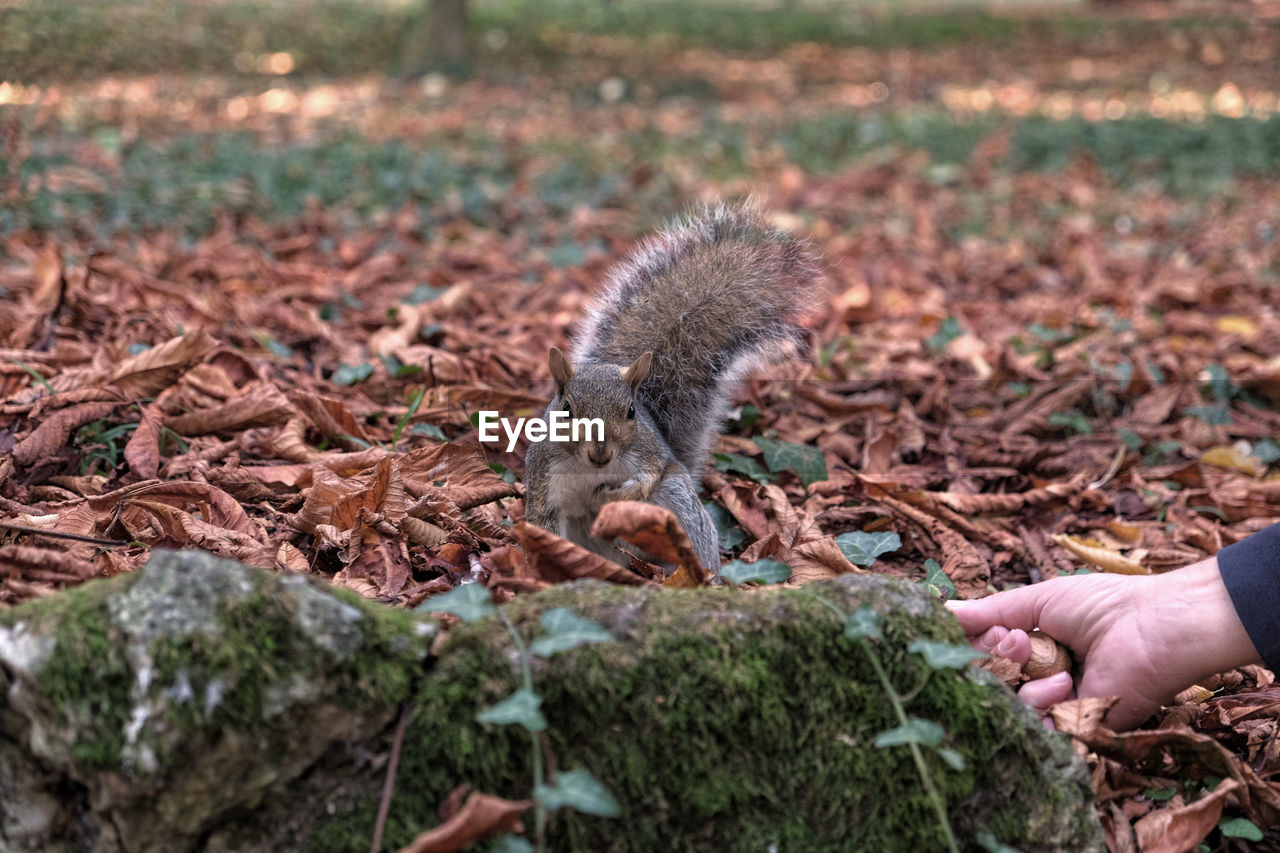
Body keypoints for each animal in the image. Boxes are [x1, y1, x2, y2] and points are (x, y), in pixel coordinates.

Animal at [522, 199, 814, 568]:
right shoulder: (544, 479)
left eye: (631, 412)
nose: (601, 455)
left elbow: (650, 474)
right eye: (566, 410)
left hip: (677, 496)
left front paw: (617, 496)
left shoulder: (649, 452)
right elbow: (543, 525)